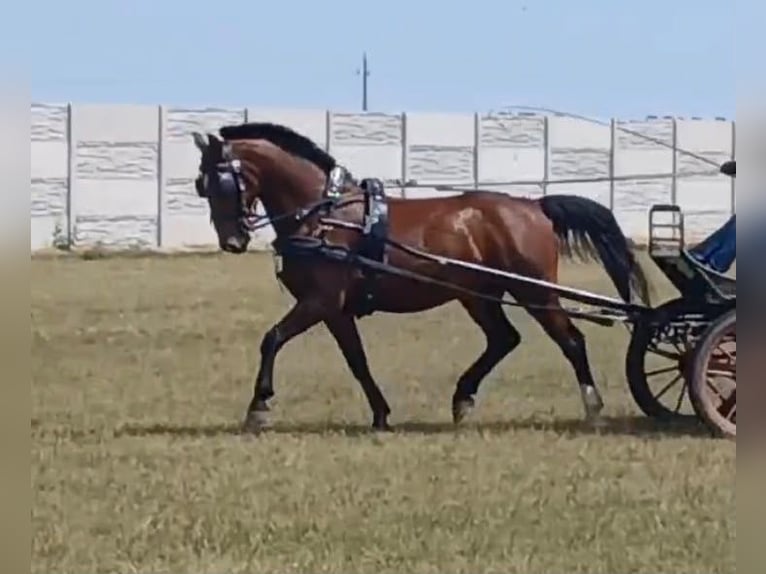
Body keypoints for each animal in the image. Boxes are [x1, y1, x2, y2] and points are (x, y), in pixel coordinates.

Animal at [191, 122, 651, 432]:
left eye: (223, 182)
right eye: (201, 184)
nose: (232, 240)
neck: (324, 216)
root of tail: (532, 205)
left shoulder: (319, 301)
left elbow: (272, 339)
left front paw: (258, 407)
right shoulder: (335, 310)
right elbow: (357, 360)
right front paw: (380, 414)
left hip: (533, 290)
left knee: (570, 340)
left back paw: (592, 406)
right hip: (477, 294)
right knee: (504, 339)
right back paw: (463, 398)